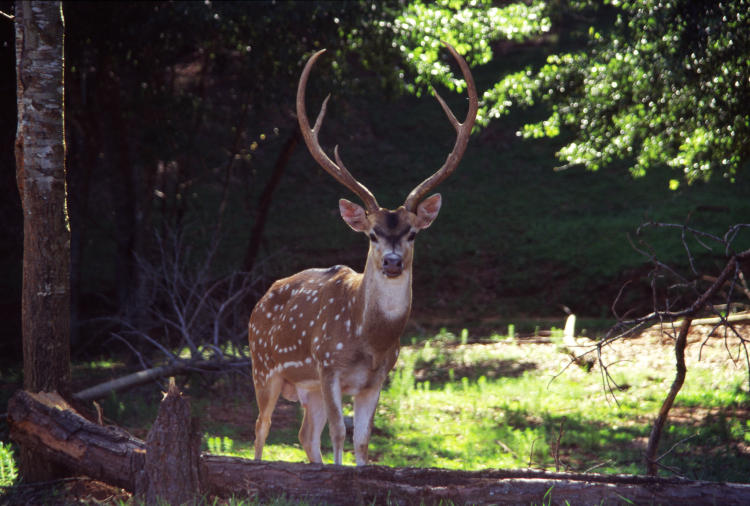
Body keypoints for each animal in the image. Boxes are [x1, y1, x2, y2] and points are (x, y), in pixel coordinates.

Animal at [250, 43, 478, 466]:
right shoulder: (328, 365)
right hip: (264, 366)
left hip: (306, 387)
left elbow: (362, 440)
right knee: (262, 427)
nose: (392, 262)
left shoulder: (377, 377)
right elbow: (340, 434)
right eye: (372, 235)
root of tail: (259, 300)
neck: (369, 340)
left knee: (305, 435)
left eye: (412, 233)